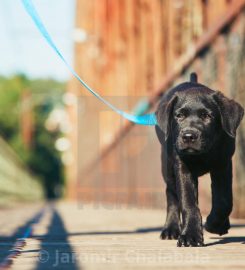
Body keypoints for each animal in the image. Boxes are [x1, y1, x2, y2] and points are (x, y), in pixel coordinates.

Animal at [155, 73, 243, 247]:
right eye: (179, 115)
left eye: (207, 116)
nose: (188, 136)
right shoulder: (182, 167)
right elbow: (188, 202)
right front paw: (190, 235)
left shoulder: (223, 165)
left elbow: (224, 200)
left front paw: (214, 224)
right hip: (167, 167)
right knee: (171, 195)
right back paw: (171, 229)